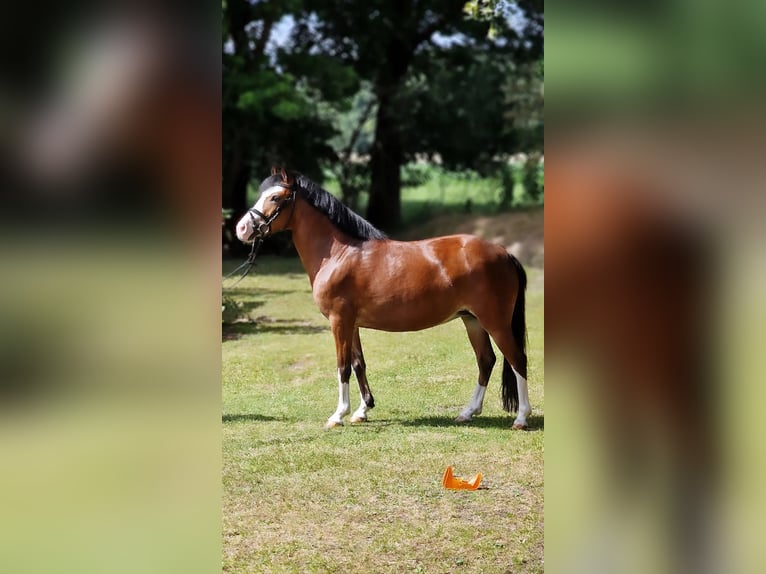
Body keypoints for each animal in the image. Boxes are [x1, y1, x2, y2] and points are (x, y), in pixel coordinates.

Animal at [236, 166, 536, 428]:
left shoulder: (339, 321)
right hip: (471, 320)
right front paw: (362, 411)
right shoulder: (351, 324)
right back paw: (467, 412)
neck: (339, 254)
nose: (242, 229)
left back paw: (521, 418)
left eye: (276, 197)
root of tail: (504, 253)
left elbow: (342, 366)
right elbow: (358, 364)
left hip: (494, 321)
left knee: (517, 359)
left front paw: (338, 415)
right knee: (486, 360)